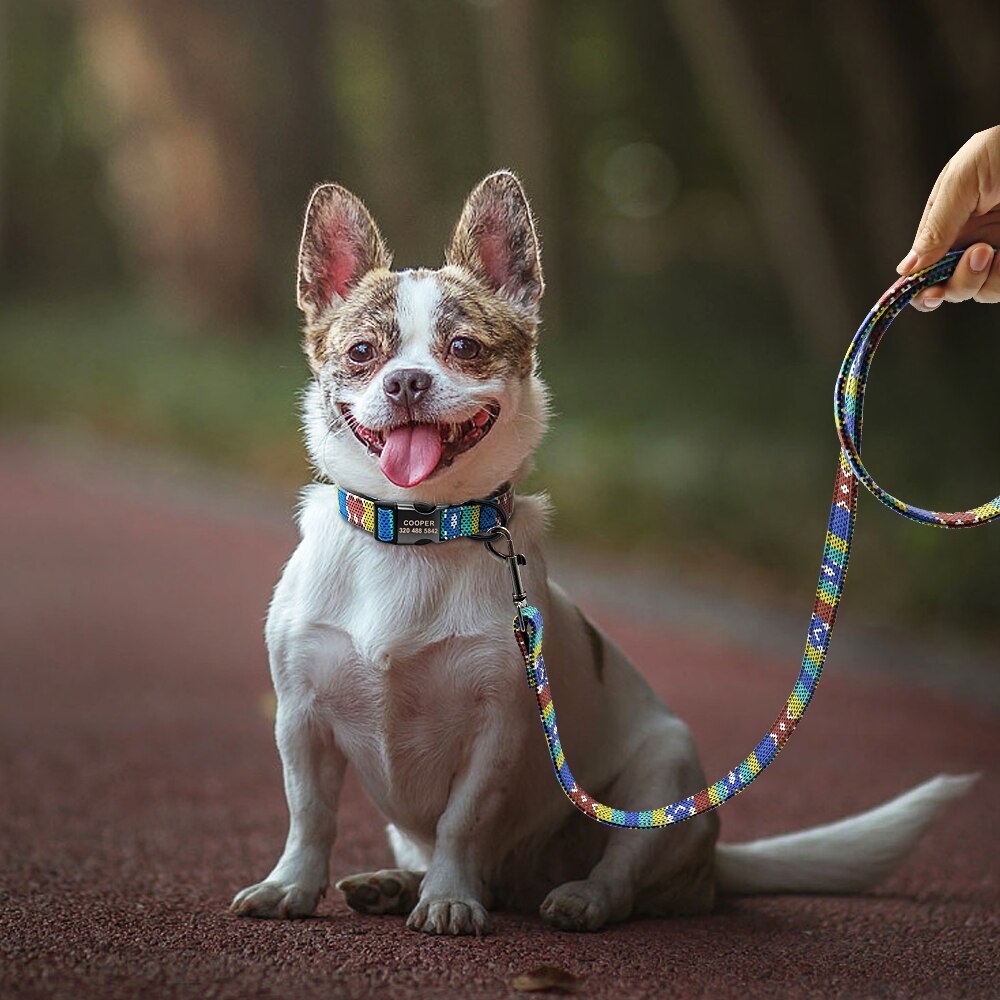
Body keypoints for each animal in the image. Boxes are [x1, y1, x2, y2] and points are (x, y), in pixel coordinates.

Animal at [232, 174, 968, 936]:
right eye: (361, 353)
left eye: (464, 346)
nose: (406, 380)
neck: (418, 530)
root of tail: (713, 864)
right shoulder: (300, 721)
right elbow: (309, 816)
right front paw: (291, 886)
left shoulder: (496, 732)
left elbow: (463, 821)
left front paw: (448, 897)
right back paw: (393, 883)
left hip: (663, 774)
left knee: (623, 870)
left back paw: (577, 897)